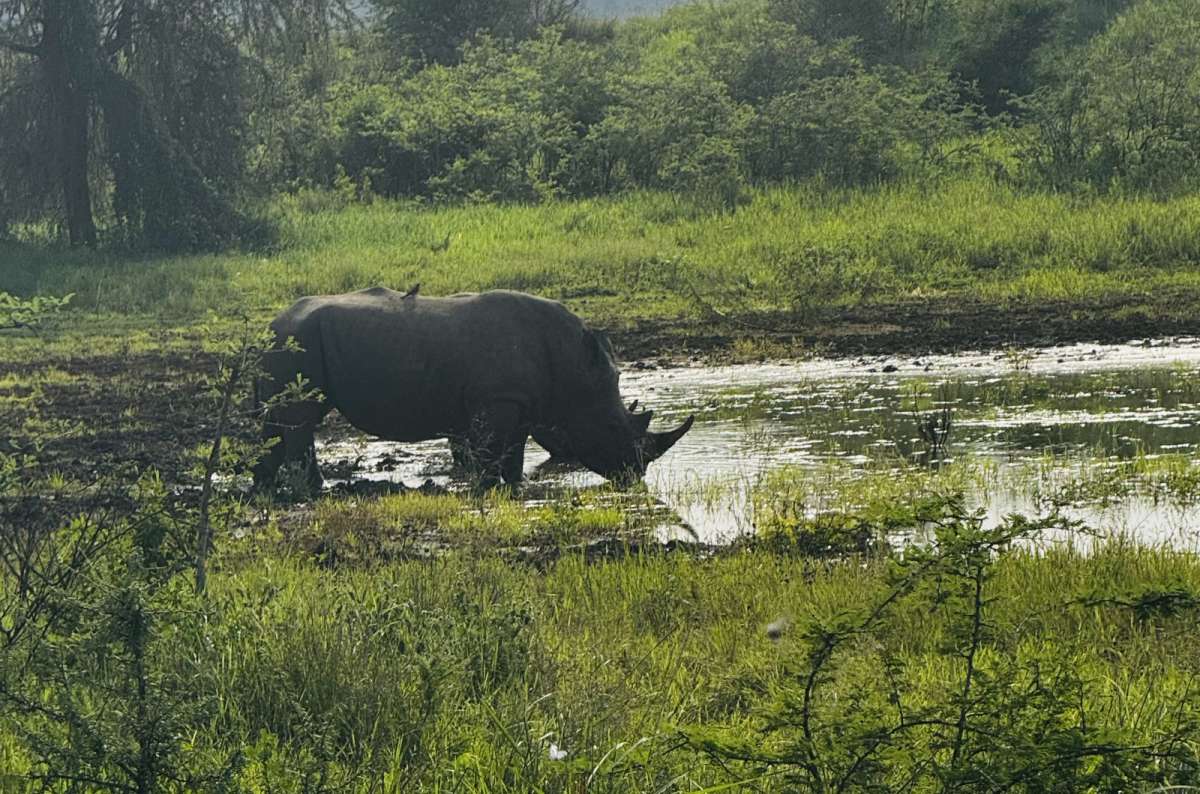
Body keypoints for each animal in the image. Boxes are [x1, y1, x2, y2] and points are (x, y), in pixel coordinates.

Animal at [252, 287, 694, 491]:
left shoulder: (519, 402)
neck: (573, 369)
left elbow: (514, 452)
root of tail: (270, 325)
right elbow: (488, 452)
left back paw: (267, 490)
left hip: (288, 344)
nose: (634, 475)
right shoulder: (495, 400)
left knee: (275, 425)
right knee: (300, 422)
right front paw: (484, 486)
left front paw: (515, 486)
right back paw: (312, 490)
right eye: (614, 428)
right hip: (298, 343)